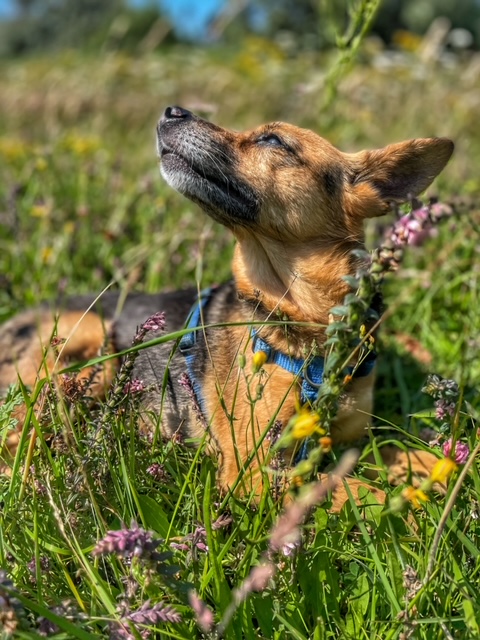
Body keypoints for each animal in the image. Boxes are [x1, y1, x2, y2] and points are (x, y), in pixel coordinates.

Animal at [0, 106, 454, 507]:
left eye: (272, 140)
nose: (172, 110)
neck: (308, 323)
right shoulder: (255, 469)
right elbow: (359, 492)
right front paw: (418, 511)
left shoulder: (352, 438)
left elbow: (398, 449)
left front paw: (442, 470)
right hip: (88, 344)